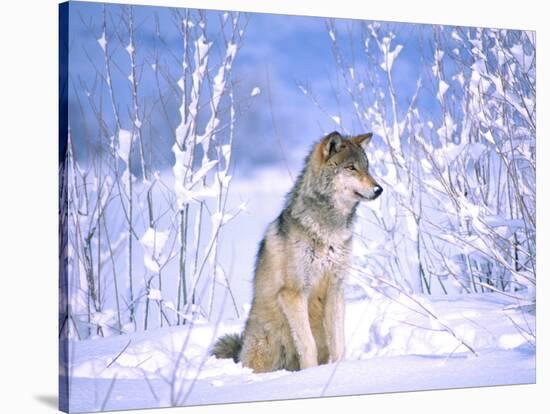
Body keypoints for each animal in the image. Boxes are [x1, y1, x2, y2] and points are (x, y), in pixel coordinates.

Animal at [211, 132, 384, 372]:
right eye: (351, 168)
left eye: (367, 167)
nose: (379, 189)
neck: (328, 229)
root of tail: (240, 350)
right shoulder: (294, 292)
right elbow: (307, 344)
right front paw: (311, 374)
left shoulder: (336, 289)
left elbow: (339, 345)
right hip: (266, 343)